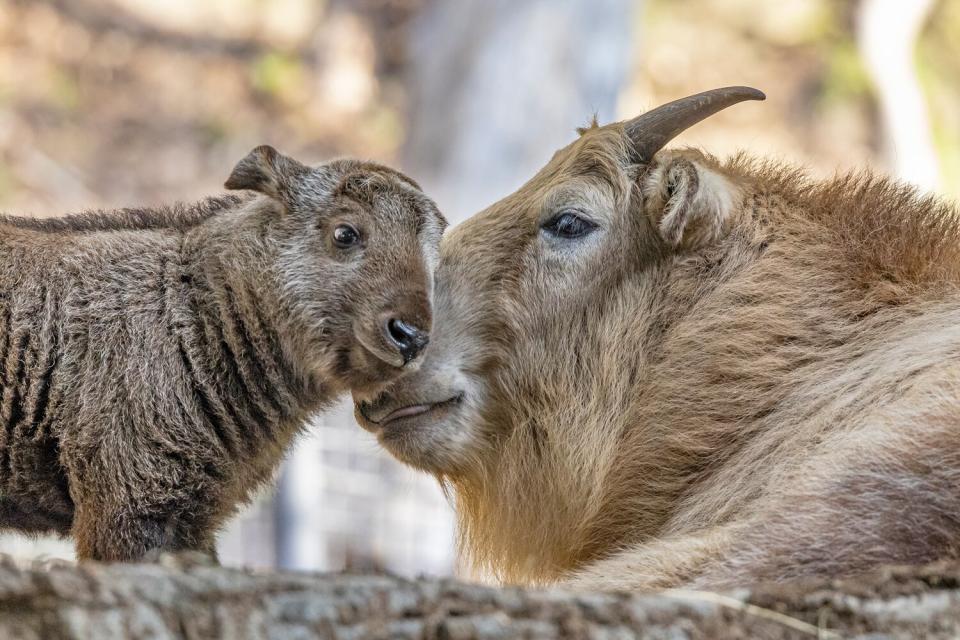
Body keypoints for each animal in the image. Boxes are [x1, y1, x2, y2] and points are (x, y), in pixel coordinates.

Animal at [0, 145, 442, 560]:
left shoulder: (191, 519)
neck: (195, 315)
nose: (410, 336)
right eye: (345, 233)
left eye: (434, 266)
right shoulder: (129, 501)